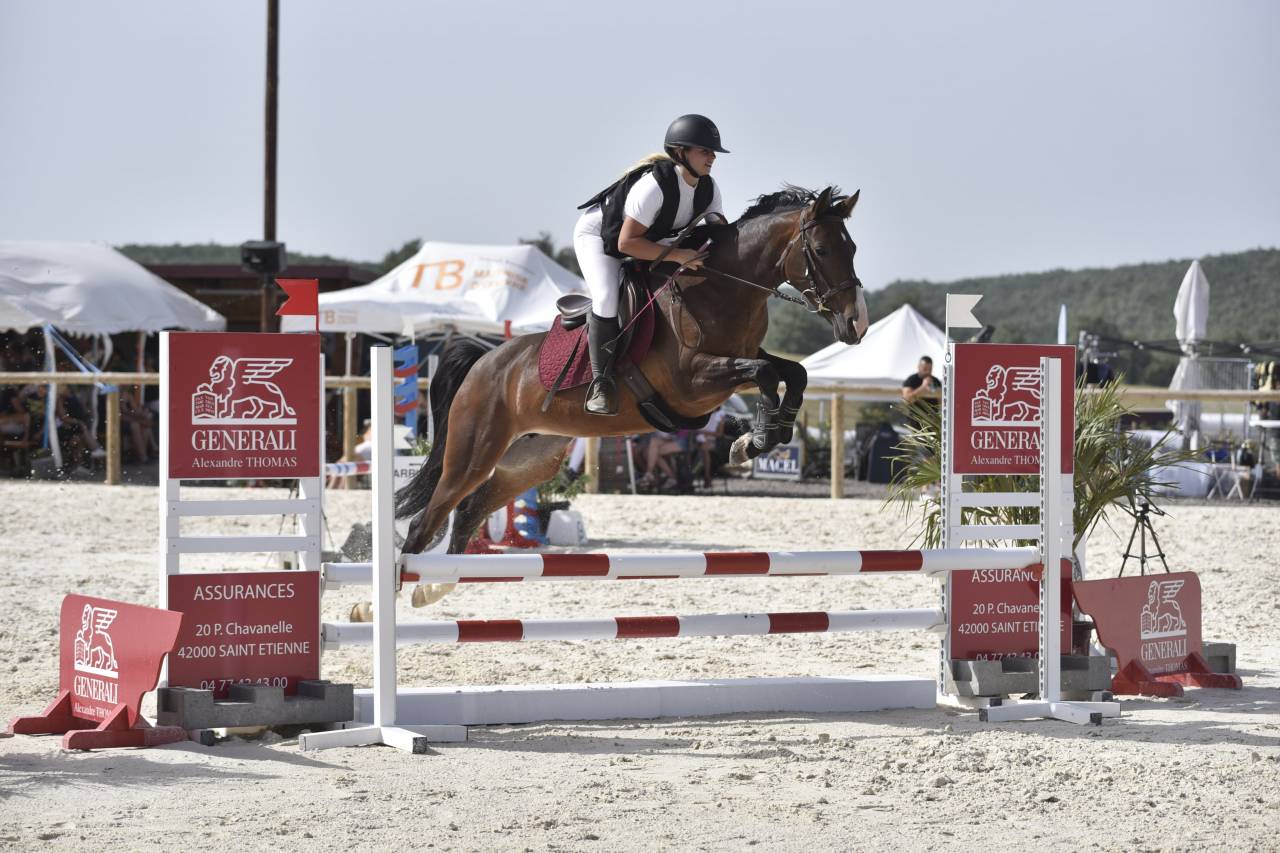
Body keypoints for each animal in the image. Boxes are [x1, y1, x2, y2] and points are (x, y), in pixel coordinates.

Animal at [396, 185, 868, 575]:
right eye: (822, 249)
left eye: (853, 247)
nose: (856, 324)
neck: (720, 290)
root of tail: (485, 361)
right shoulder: (693, 382)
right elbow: (768, 373)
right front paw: (754, 440)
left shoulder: (741, 360)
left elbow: (793, 371)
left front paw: (767, 434)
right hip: (472, 454)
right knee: (425, 523)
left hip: (527, 460)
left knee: (467, 513)